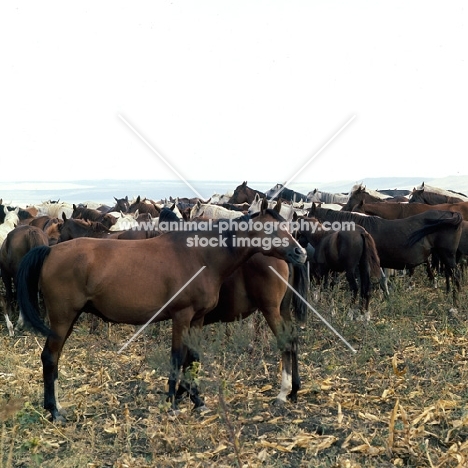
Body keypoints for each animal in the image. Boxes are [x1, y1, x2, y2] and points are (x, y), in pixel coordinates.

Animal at [15, 207, 308, 422]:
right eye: (270, 228)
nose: (300, 252)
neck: (201, 255)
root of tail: (51, 251)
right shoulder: (181, 316)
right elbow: (177, 357)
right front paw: (173, 404)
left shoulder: (197, 319)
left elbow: (193, 358)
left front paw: (197, 401)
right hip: (63, 318)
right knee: (50, 358)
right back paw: (54, 411)